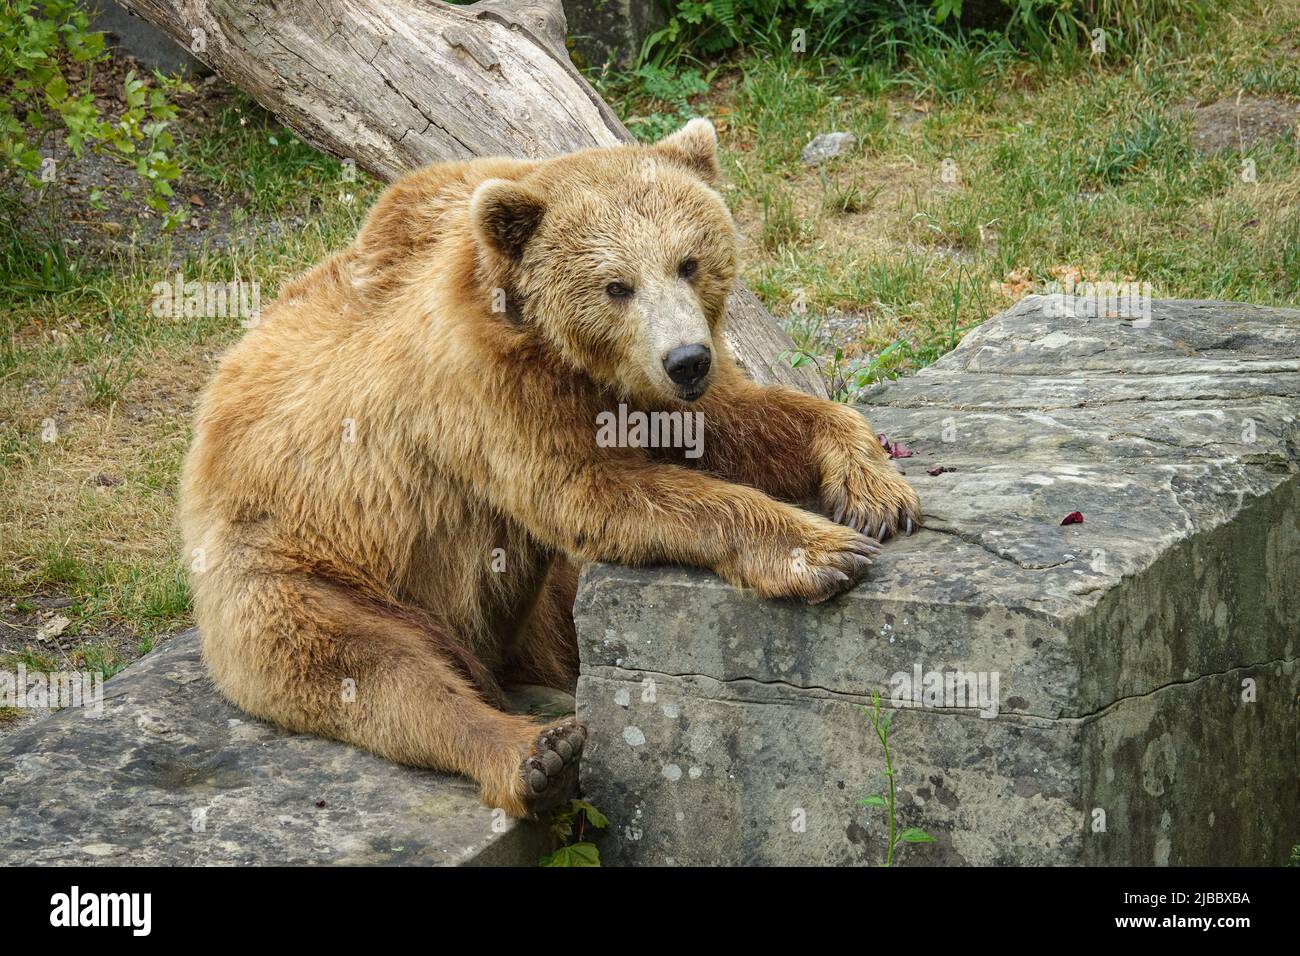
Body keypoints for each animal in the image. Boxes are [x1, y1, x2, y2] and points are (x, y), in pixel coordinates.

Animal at [178, 119, 920, 816]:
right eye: (617, 285)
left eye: (688, 262)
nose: (687, 359)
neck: (564, 356)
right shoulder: (487, 394)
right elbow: (595, 493)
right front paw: (822, 552)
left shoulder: (647, 392)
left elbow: (748, 421)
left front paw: (875, 490)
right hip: (292, 573)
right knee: (373, 671)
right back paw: (537, 756)